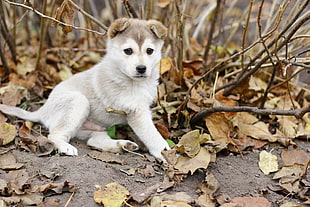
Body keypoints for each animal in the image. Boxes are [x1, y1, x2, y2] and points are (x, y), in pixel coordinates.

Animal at [0, 18, 170, 160]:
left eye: (149, 51)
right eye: (128, 51)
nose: (141, 68)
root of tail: (43, 110)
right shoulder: (136, 112)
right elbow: (152, 135)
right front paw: (165, 152)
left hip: (96, 127)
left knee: (94, 141)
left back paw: (123, 145)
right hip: (78, 102)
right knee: (54, 135)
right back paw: (66, 147)